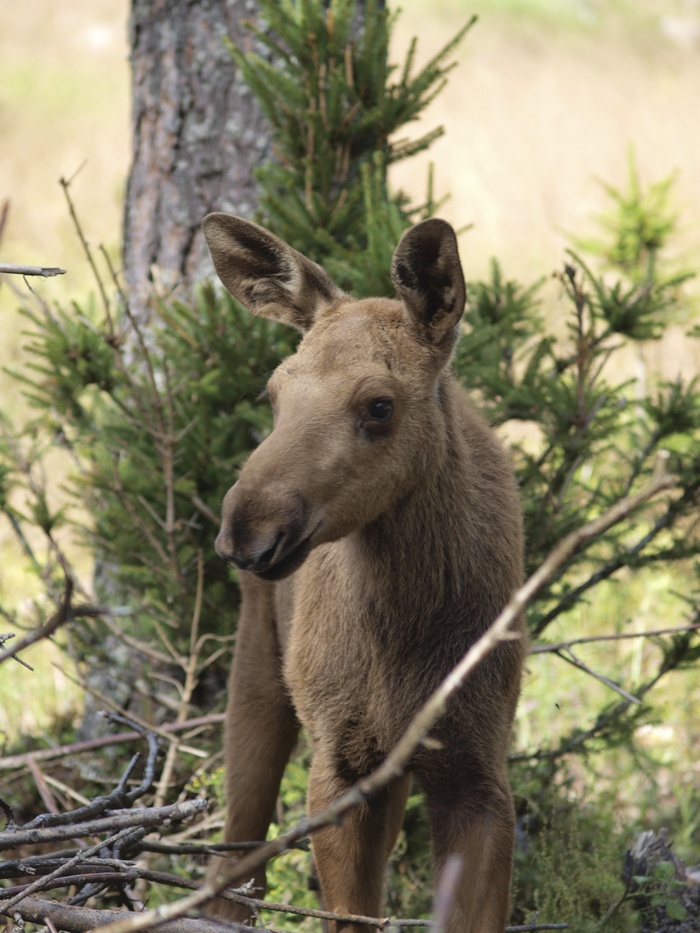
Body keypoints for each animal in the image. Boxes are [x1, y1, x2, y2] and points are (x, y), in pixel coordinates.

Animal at [202, 213, 524, 932]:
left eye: (380, 405)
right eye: (273, 392)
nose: (246, 530)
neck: (405, 622)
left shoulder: (478, 766)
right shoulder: (338, 760)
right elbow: (349, 912)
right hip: (260, 669)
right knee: (233, 858)